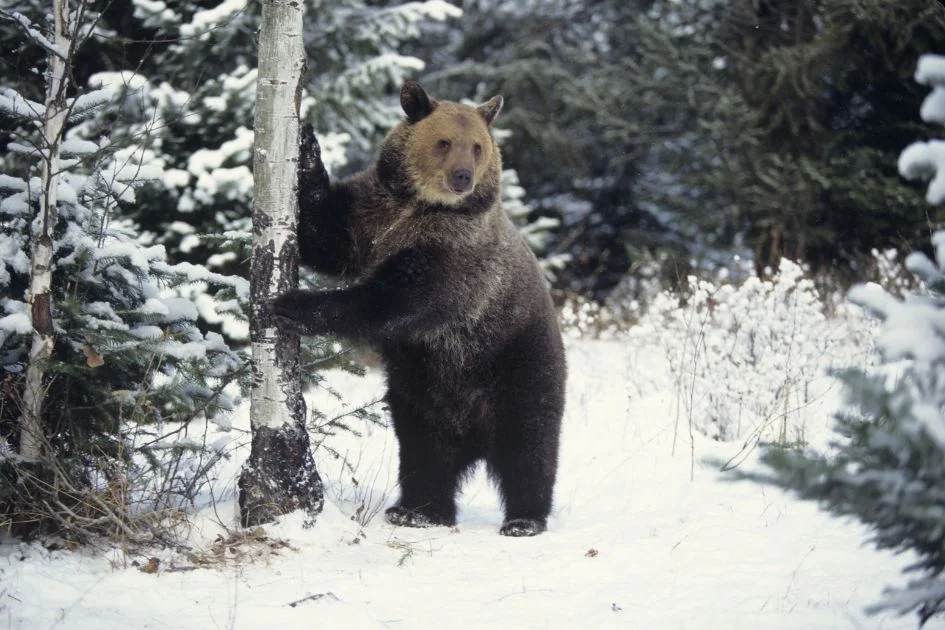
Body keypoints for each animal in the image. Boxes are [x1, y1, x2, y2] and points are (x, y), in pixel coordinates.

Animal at [272, 80, 568, 540]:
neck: (419, 206)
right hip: (422, 386)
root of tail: (475, 434)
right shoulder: (370, 216)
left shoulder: (455, 258)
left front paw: (294, 304)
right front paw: (305, 143)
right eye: (444, 142)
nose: (463, 177)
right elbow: (325, 233)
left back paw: (524, 518)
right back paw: (418, 509)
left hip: (516, 361)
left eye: (477, 146)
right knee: (423, 449)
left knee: (528, 443)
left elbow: (395, 299)